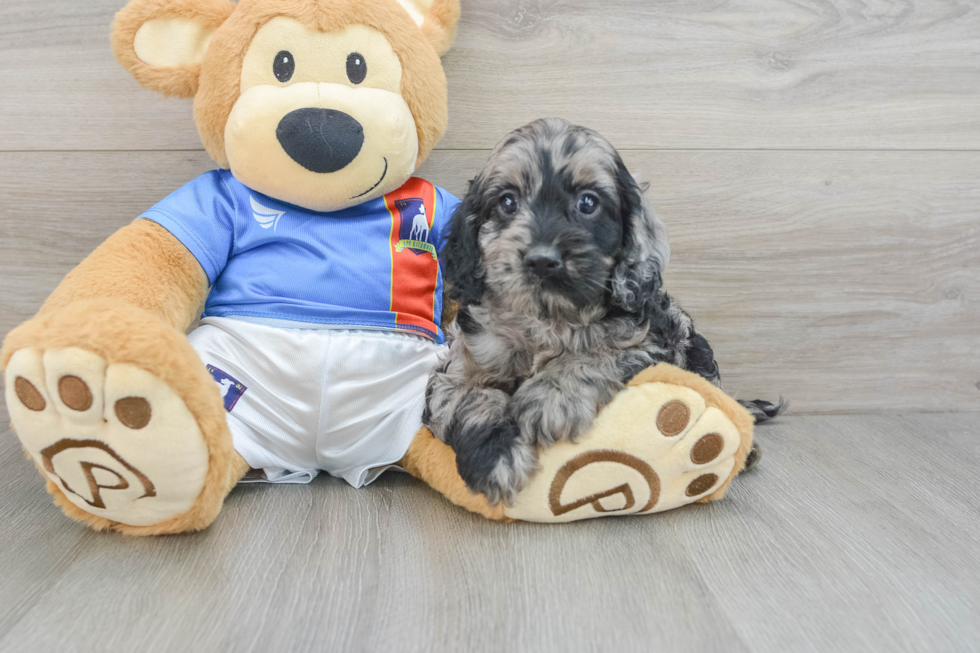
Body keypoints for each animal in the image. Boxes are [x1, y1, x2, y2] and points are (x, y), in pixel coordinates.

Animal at [422, 118, 780, 504]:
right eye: (507, 202)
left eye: (588, 203)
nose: (543, 260)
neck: (547, 317)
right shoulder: (458, 367)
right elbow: (471, 399)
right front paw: (496, 455)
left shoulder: (648, 341)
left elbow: (596, 352)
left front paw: (552, 396)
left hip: (693, 345)